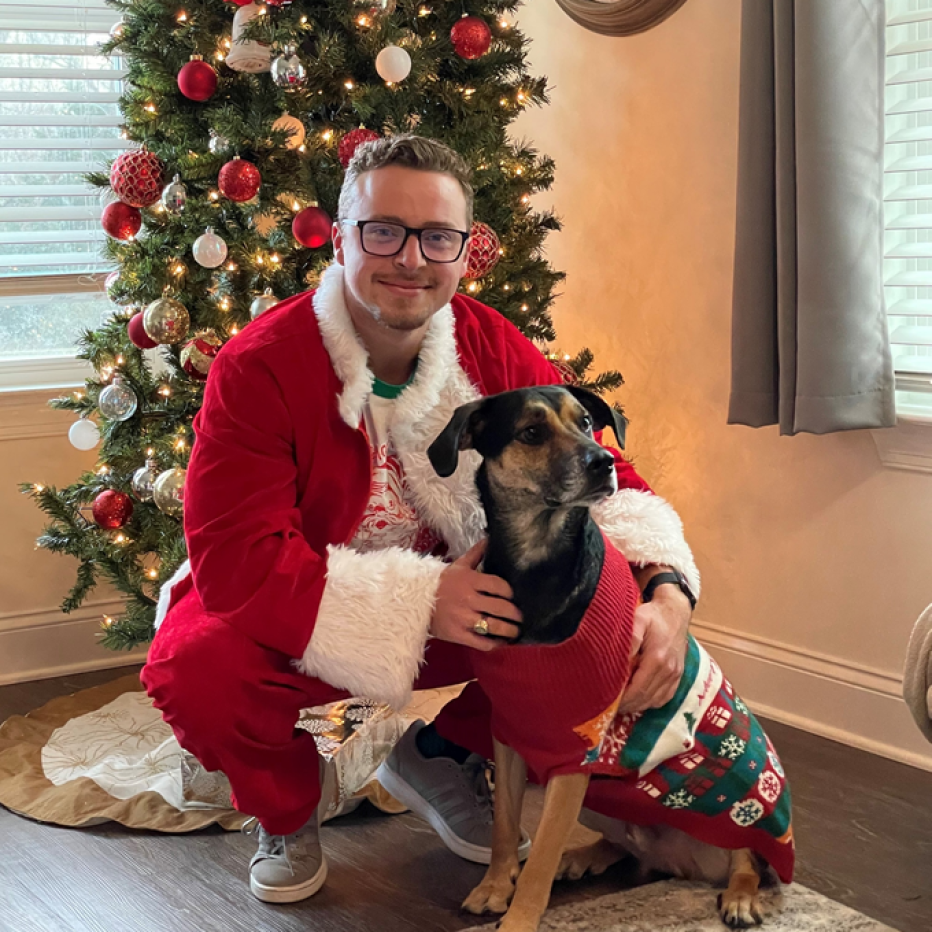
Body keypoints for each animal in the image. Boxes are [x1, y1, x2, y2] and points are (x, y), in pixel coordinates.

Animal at [430, 386, 792, 932]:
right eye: (531, 432)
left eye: (585, 422)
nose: (603, 461)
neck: (536, 565)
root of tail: (683, 866)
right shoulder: (509, 732)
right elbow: (505, 826)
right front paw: (494, 887)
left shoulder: (577, 753)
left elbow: (537, 859)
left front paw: (517, 917)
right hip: (606, 804)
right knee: (628, 849)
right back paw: (583, 858)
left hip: (742, 814)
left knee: (749, 859)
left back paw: (741, 896)